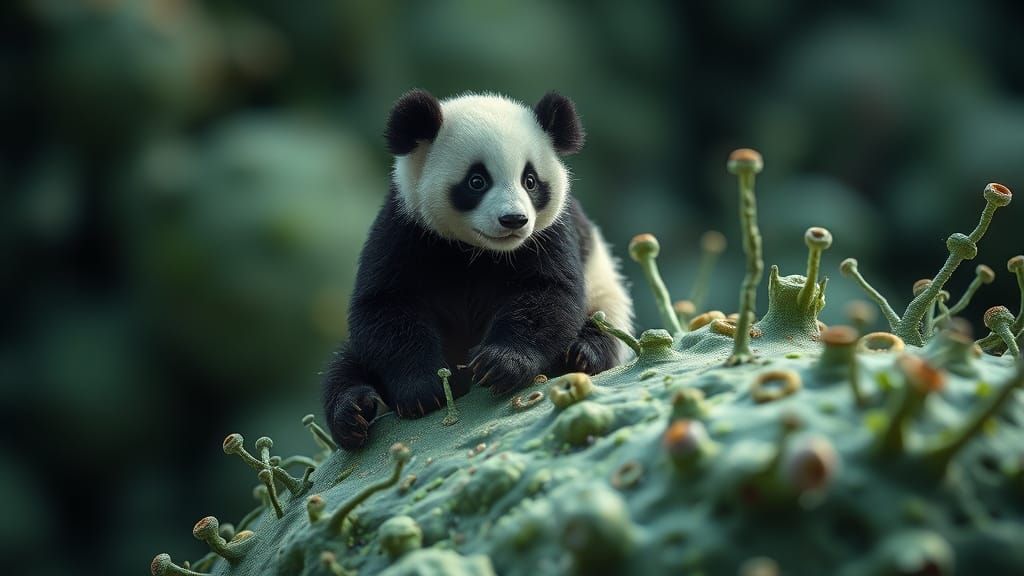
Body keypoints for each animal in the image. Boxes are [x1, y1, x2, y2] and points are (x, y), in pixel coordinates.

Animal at [323, 90, 634, 450]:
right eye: (477, 181)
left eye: (530, 181)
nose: (514, 220)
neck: (481, 251)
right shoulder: (405, 228)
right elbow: (385, 305)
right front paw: (422, 389)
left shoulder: (549, 234)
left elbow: (547, 294)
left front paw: (500, 364)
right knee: (345, 366)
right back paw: (352, 412)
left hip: (605, 296)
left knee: (602, 326)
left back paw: (581, 354)